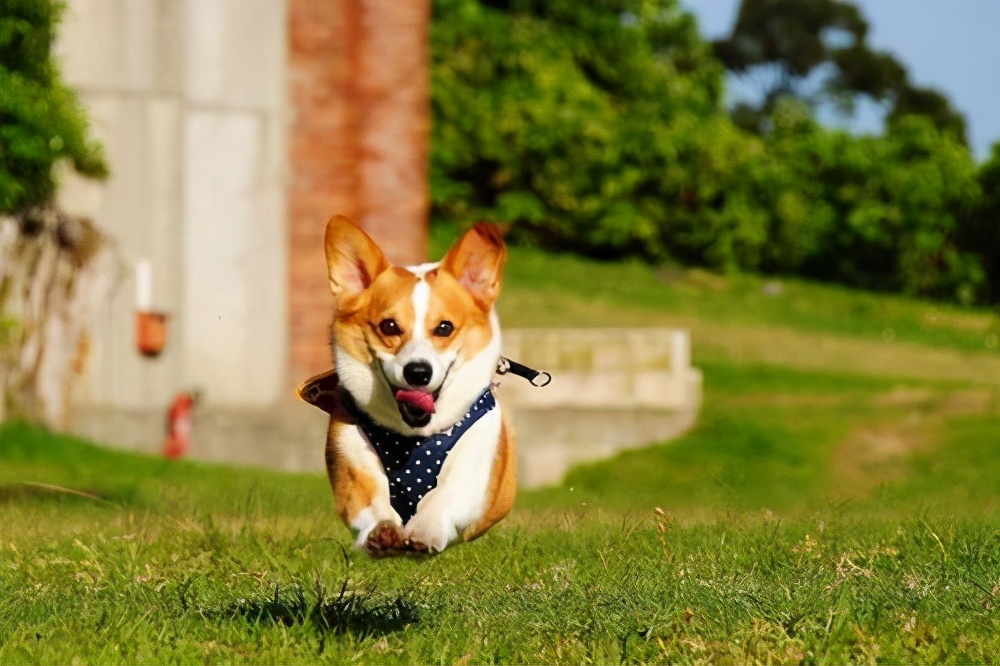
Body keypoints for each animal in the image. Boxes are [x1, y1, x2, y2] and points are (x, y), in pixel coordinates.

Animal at [306, 215, 516, 552]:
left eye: (445, 328)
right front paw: (382, 532)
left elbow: (445, 493)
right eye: (389, 326)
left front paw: (423, 532)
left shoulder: (475, 469)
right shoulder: (353, 463)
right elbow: (371, 502)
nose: (418, 372)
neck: (414, 437)